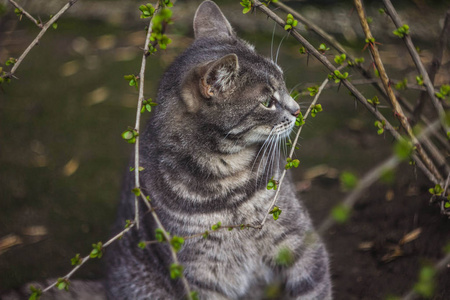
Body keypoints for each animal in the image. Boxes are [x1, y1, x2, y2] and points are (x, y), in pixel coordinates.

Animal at [104, 1, 330, 298]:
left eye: (282, 80)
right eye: (268, 101)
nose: (297, 110)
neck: (228, 177)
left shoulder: (299, 245)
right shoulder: (200, 274)